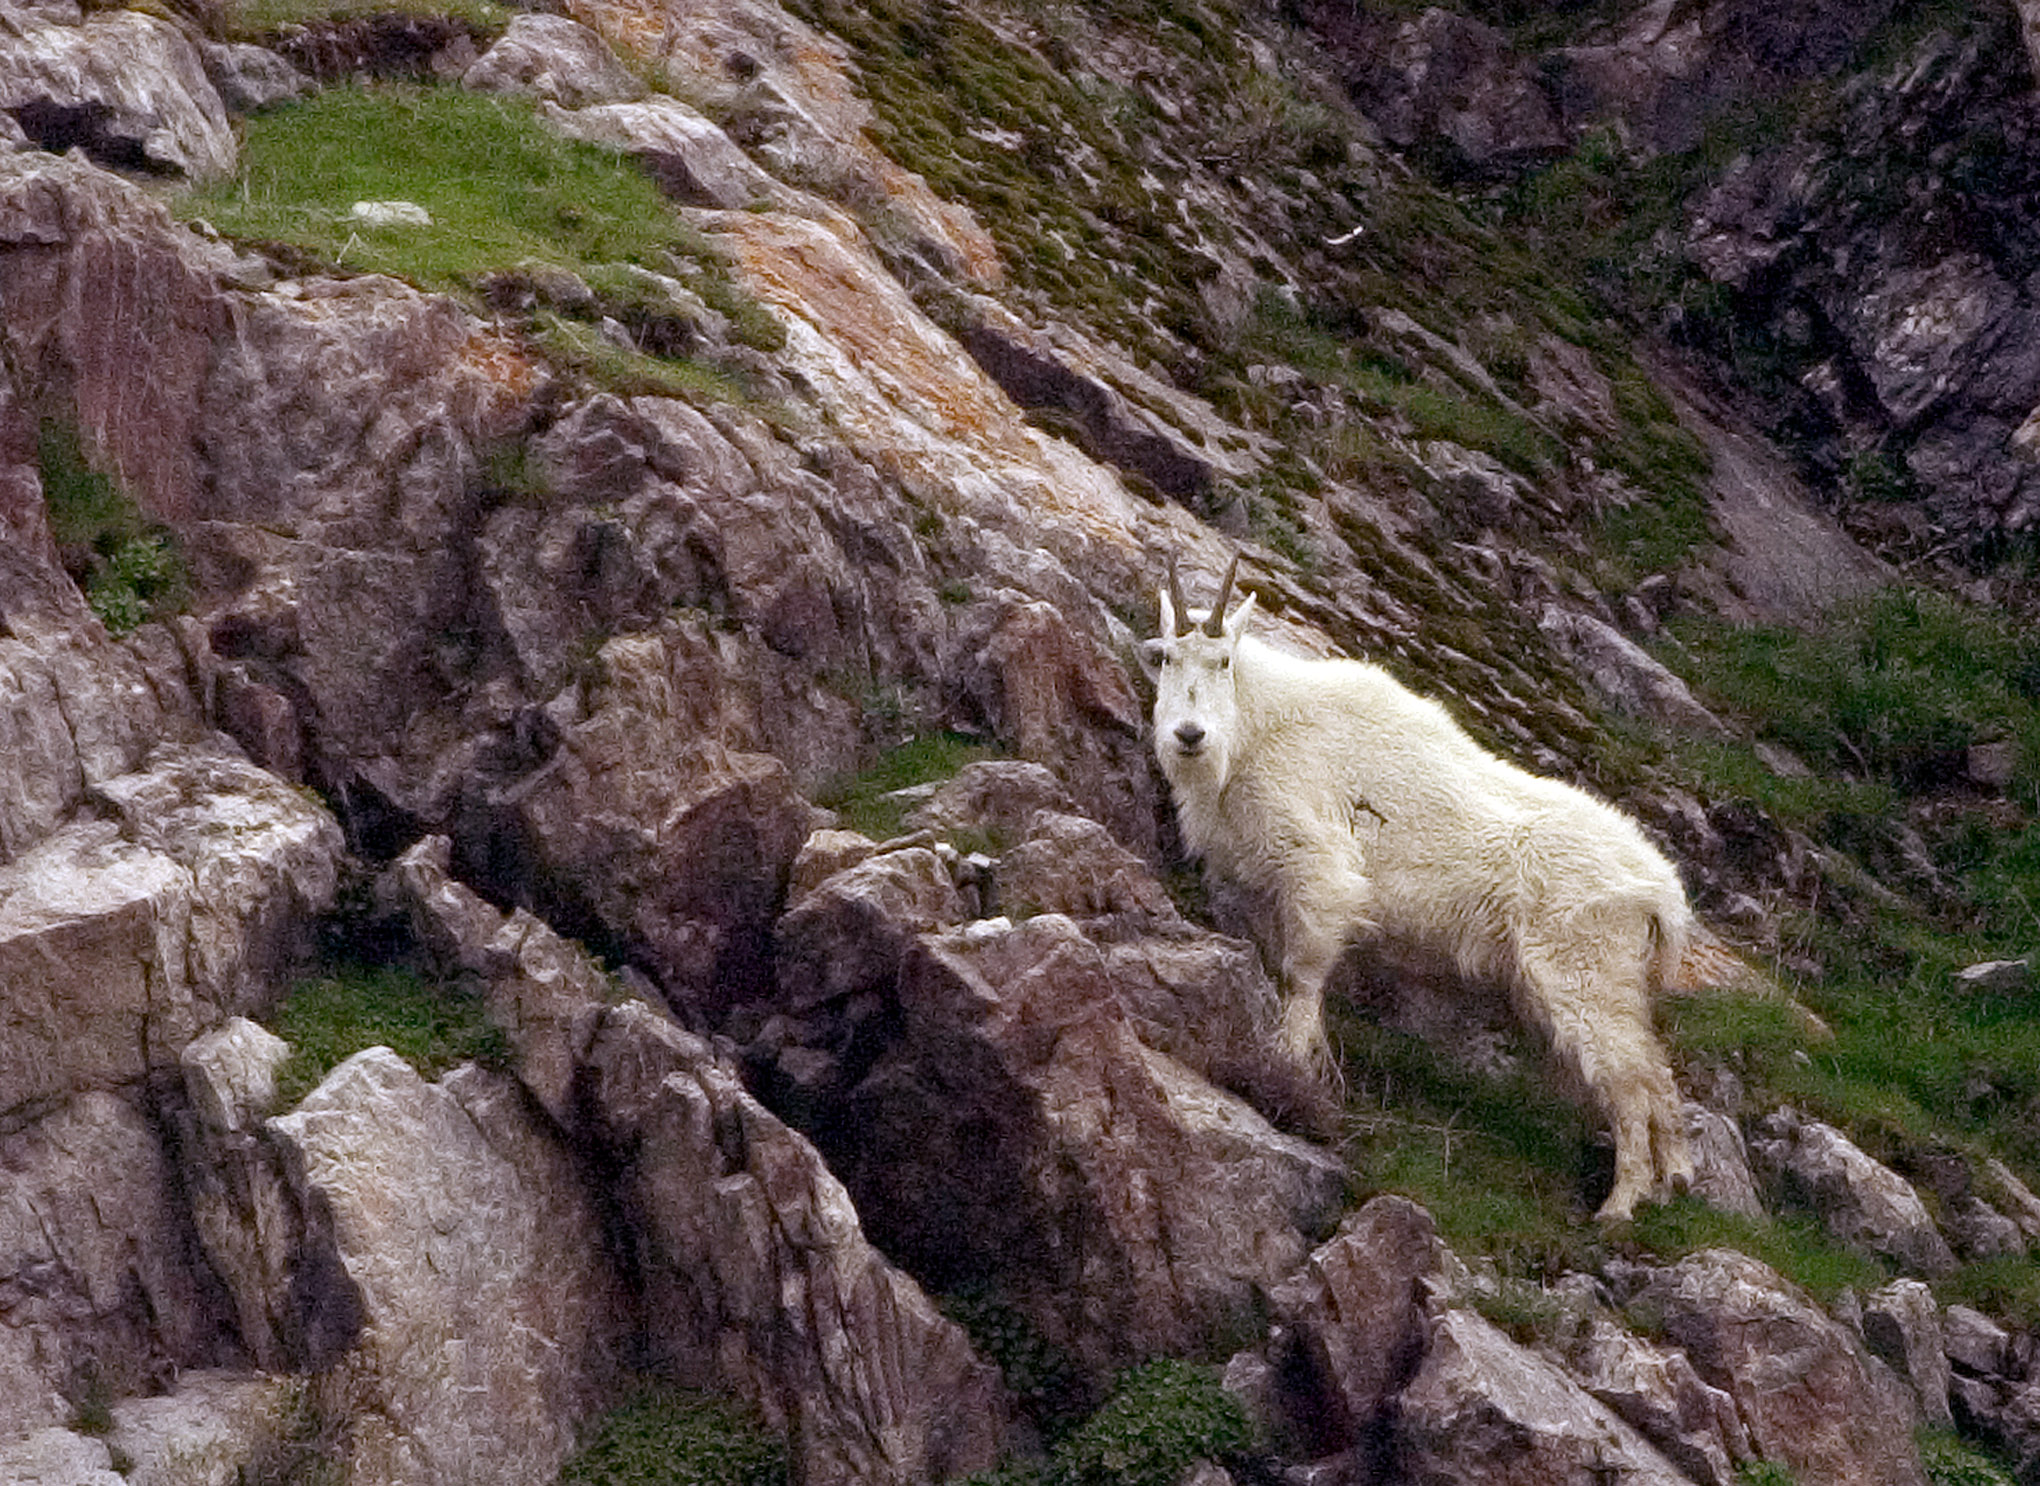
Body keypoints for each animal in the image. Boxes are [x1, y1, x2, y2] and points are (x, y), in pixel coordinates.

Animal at [1140, 557, 1695, 1221]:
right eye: (1167, 658)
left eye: (1223, 661)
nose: (1188, 735)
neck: (1258, 726)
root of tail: (1663, 894)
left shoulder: (1322, 875)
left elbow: (1302, 977)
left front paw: (1291, 1065)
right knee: (1656, 1073)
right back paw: (1674, 1180)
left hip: (1583, 971)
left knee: (1631, 1081)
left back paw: (1620, 1204)